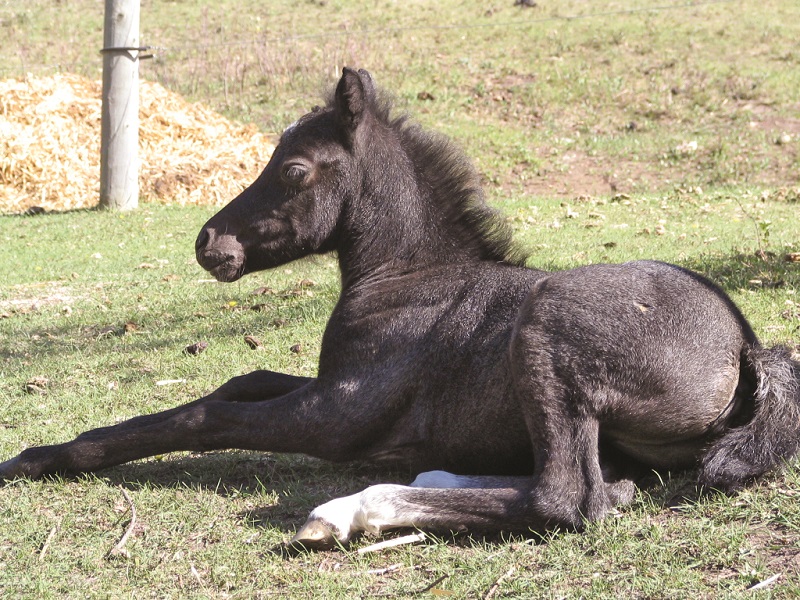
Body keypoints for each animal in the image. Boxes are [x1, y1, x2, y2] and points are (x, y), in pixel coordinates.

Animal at [2, 68, 799, 550]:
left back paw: (352, 509)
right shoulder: (328, 386)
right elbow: (240, 381)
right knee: (606, 485)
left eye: (294, 170)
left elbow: (200, 418)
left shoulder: (333, 416)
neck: (409, 279)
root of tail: (748, 346)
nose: (209, 243)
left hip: (549, 325)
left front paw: (38, 456)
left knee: (567, 499)